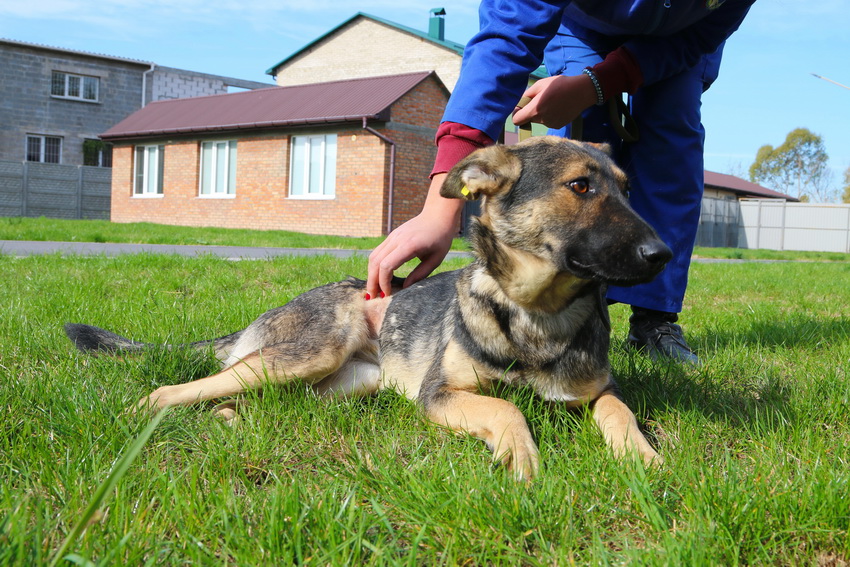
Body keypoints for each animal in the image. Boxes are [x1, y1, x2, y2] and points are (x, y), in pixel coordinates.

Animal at [64, 136, 668, 480]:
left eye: (626, 190)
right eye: (581, 186)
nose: (662, 254)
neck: (534, 312)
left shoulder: (602, 390)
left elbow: (619, 412)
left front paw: (643, 458)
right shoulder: (439, 395)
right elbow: (506, 407)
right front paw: (519, 453)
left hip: (337, 386)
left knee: (252, 399)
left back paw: (228, 419)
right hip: (309, 354)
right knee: (179, 387)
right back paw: (140, 412)